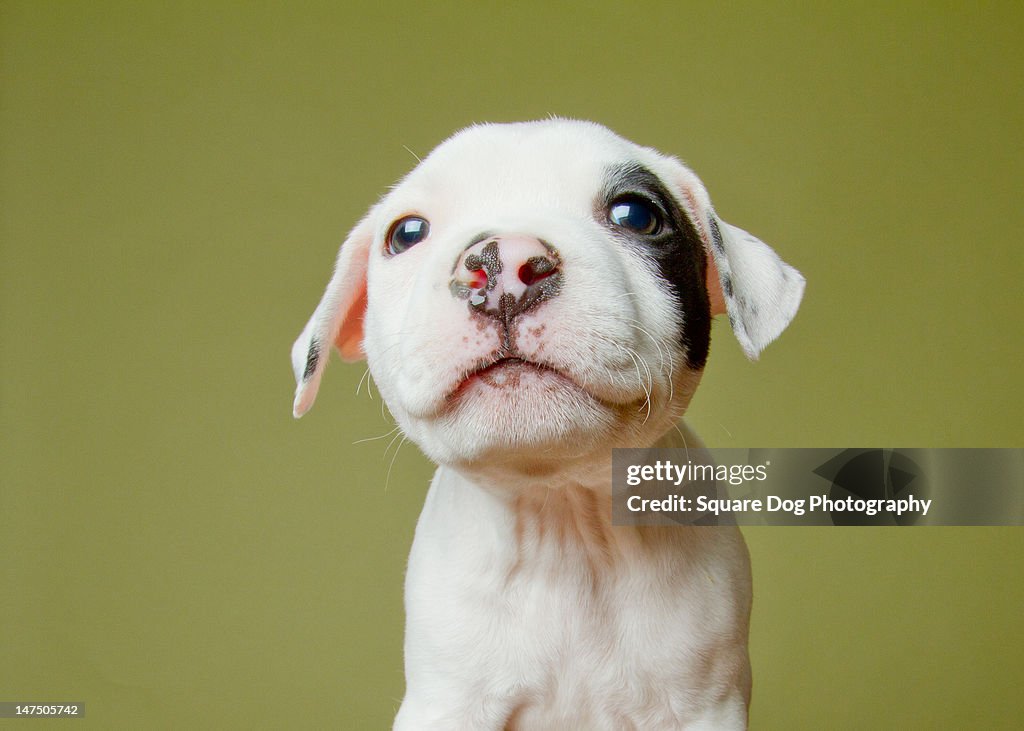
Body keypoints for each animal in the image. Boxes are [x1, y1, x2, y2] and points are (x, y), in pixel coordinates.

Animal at [288, 119, 798, 724]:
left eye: (636, 215)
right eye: (407, 233)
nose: (504, 262)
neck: (562, 518)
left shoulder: (702, 707)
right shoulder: (446, 704)